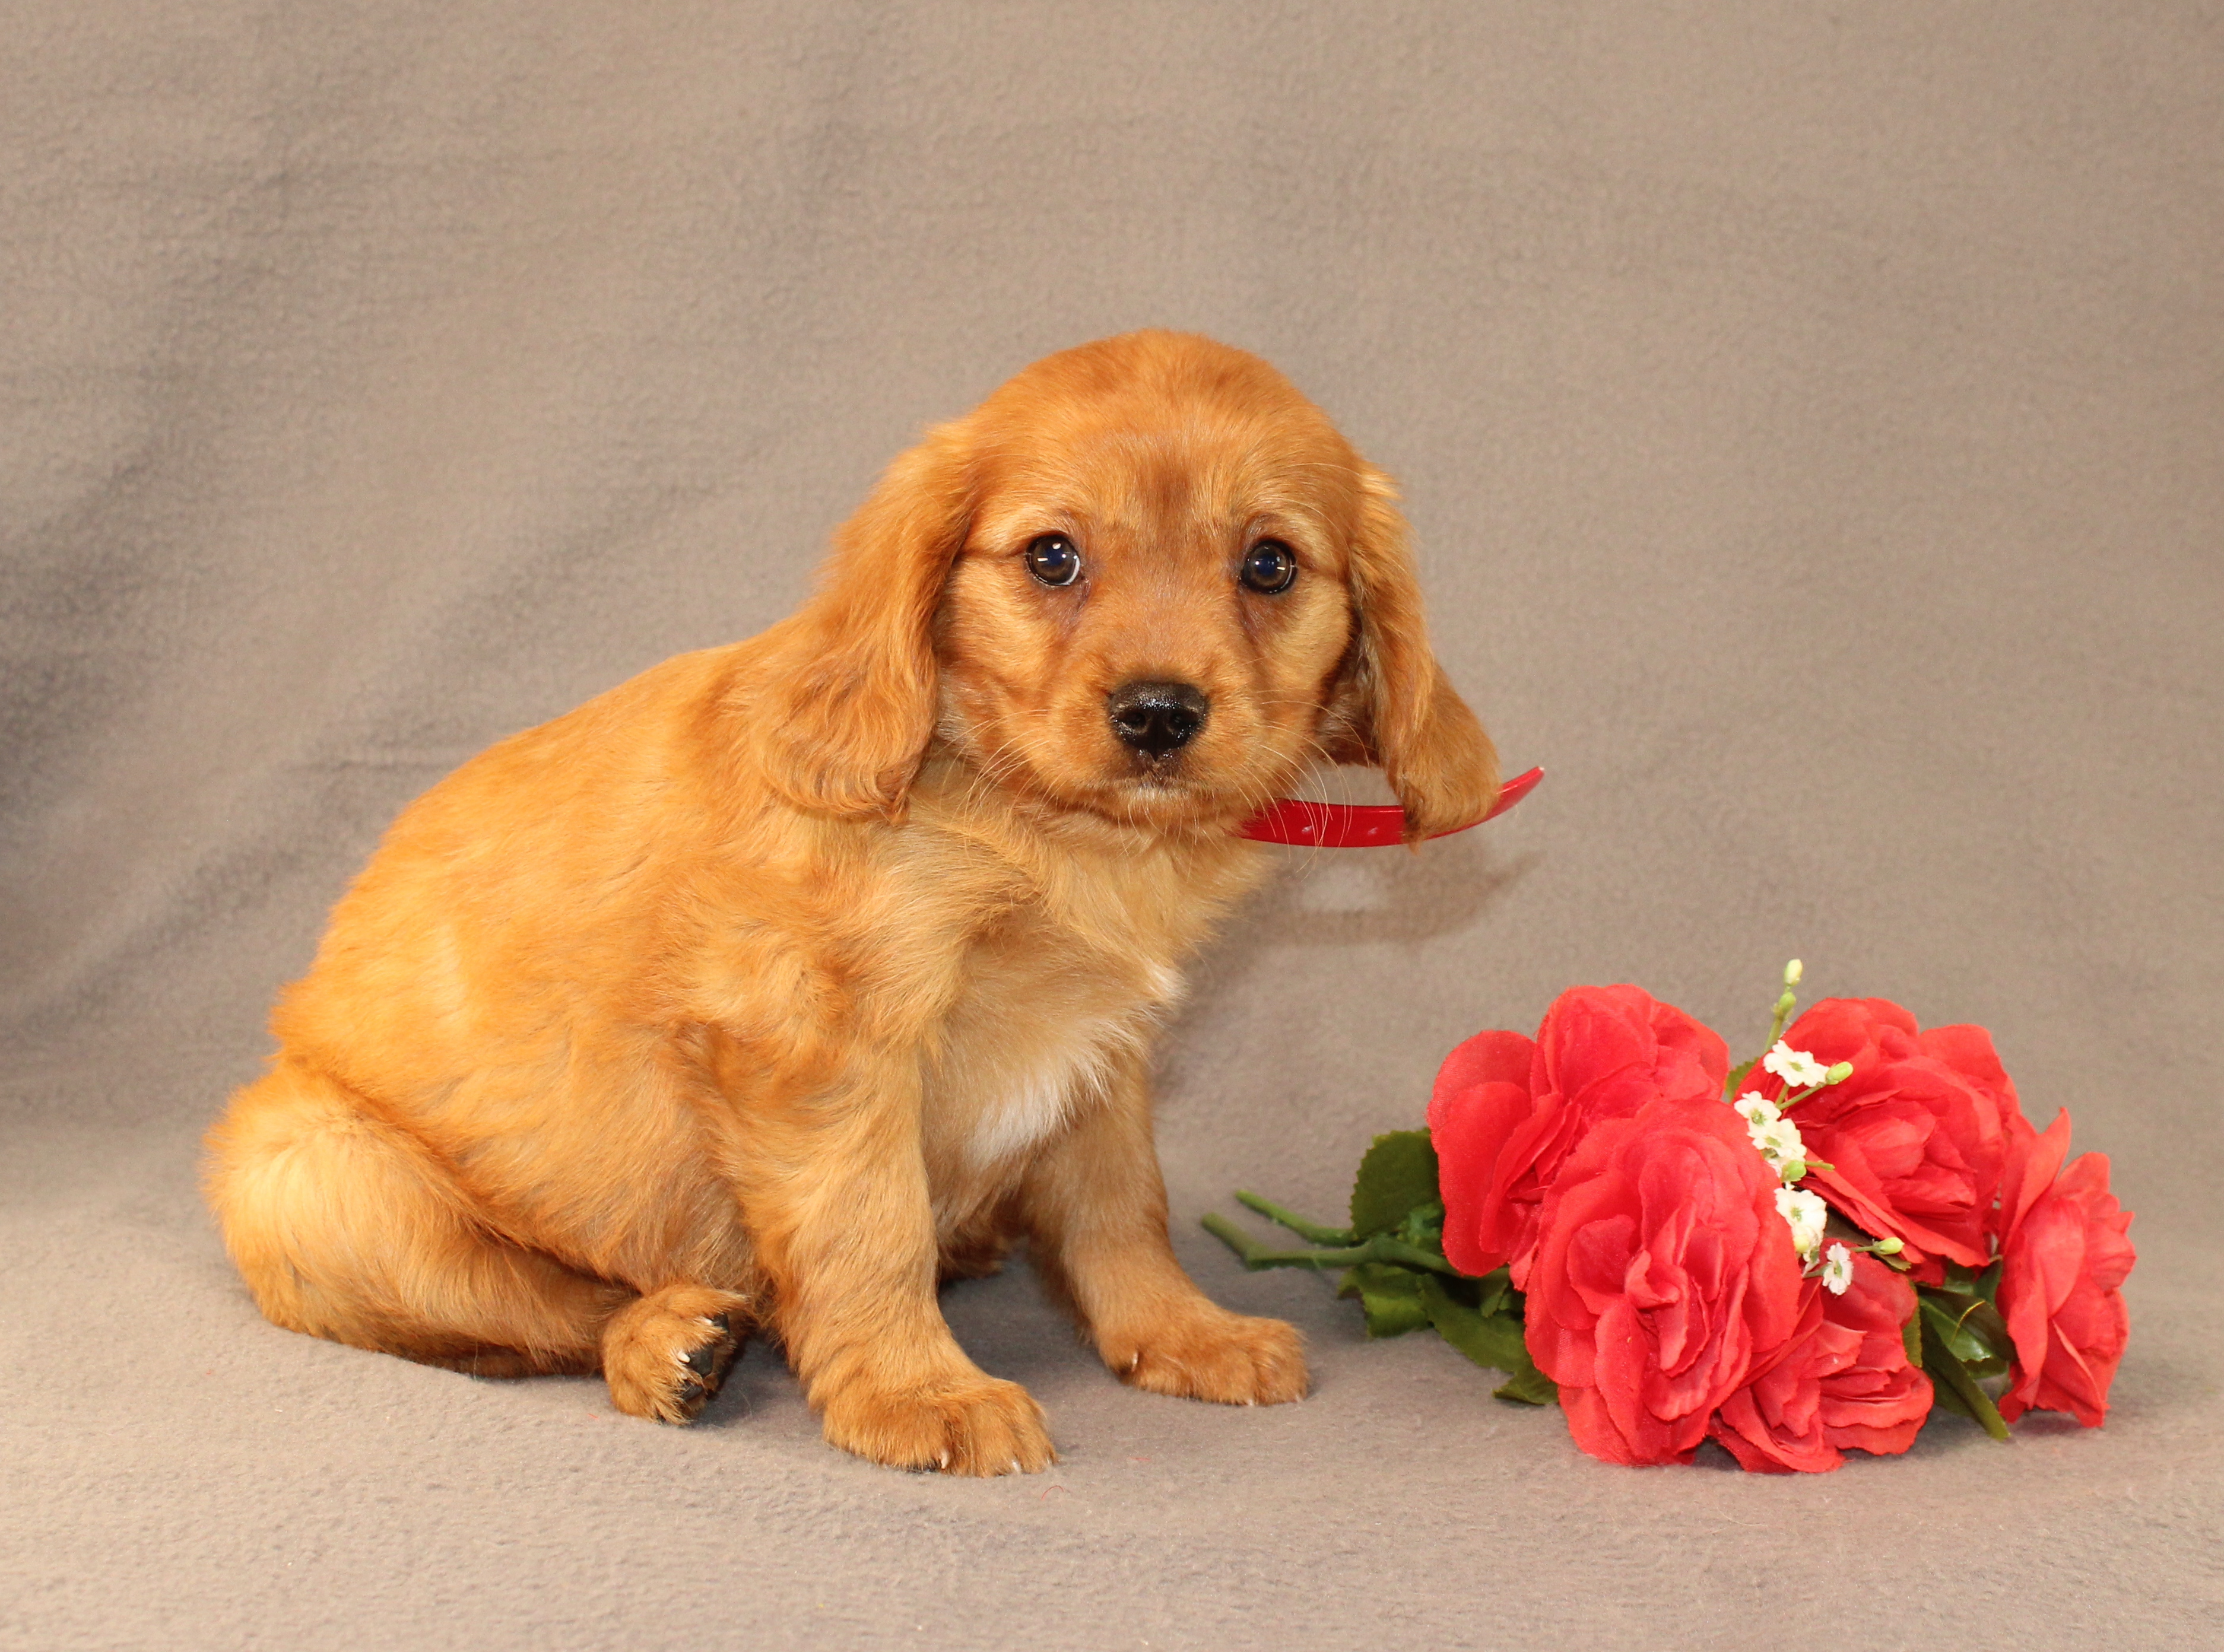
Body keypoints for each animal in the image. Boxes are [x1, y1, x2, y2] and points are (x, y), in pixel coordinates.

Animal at [209, 329, 1503, 1476]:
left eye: (1269, 564)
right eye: (1051, 557)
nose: (1157, 713)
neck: (1040, 830)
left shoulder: (1101, 1053)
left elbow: (1120, 1207)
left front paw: (1178, 1332)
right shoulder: (816, 1051)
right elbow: (865, 1231)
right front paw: (917, 1392)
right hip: (318, 1188)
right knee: (542, 1313)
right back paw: (666, 1341)